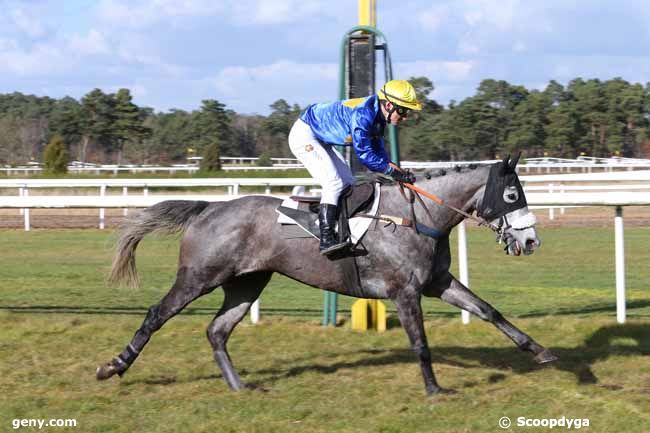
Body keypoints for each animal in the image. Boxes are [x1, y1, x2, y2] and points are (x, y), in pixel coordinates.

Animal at [97, 156, 556, 394]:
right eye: (512, 193)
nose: (532, 241)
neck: (418, 215)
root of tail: (208, 208)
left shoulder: (437, 283)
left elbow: (489, 311)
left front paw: (539, 351)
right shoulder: (405, 292)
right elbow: (421, 344)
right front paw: (434, 389)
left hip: (247, 283)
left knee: (217, 331)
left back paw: (240, 386)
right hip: (199, 276)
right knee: (157, 314)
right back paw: (114, 366)